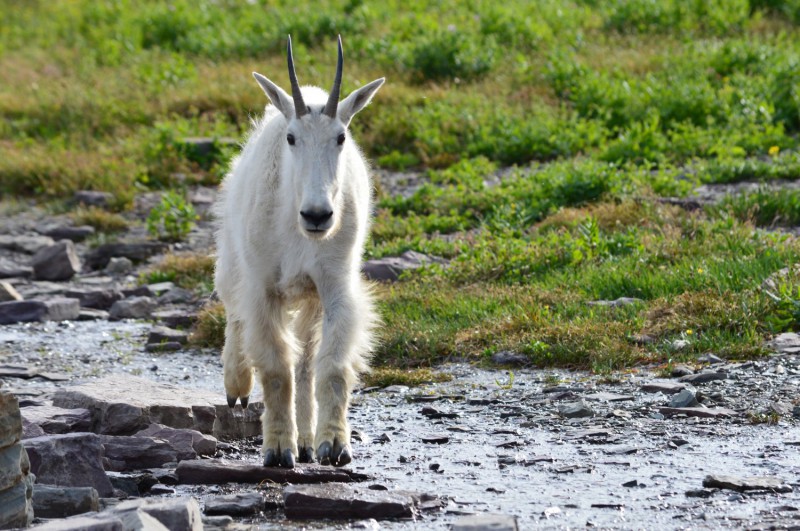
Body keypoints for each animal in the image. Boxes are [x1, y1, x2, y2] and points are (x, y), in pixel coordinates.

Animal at [216, 37, 384, 468]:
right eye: (291, 138)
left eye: (341, 137)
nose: (318, 215)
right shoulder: (263, 287)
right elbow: (276, 369)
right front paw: (277, 450)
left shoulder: (334, 285)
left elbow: (332, 366)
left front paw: (334, 446)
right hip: (233, 258)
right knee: (233, 310)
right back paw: (237, 386)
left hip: (309, 297)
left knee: (307, 360)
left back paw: (307, 440)